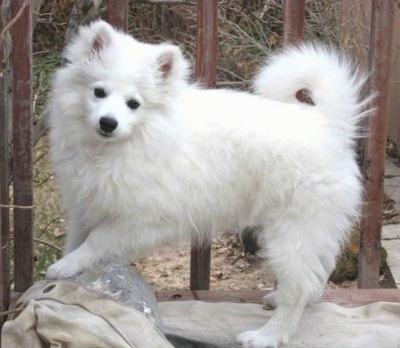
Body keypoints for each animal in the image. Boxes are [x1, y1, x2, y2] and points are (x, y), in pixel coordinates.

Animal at [47, 20, 372, 346]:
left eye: (133, 104)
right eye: (99, 92)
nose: (108, 123)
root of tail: (328, 124)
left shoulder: (143, 219)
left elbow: (98, 240)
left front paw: (65, 266)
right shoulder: (85, 205)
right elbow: (77, 240)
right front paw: (65, 269)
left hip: (292, 232)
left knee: (300, 286)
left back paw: (268, 334)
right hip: (314, 228)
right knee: (318, 272)